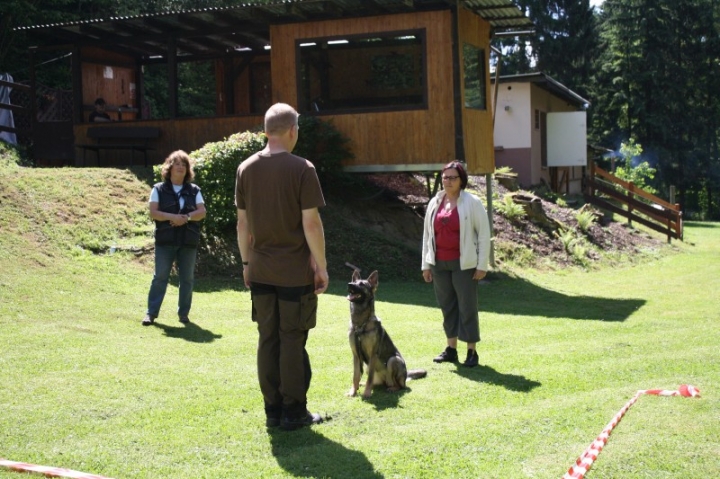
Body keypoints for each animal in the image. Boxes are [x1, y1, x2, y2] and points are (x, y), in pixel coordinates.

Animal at [346, 270, 424, 398]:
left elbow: (370, 377)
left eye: (362, 284)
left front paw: (367, 393)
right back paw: (364, 384)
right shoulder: (356, 356)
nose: (349, 284)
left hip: (393, 360)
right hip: (367, 367)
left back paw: (392, 388)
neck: (361, 324)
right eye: (354, 281)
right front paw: (353, 391)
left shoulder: (372, 355)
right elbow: (355, 375)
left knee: (400, 386)